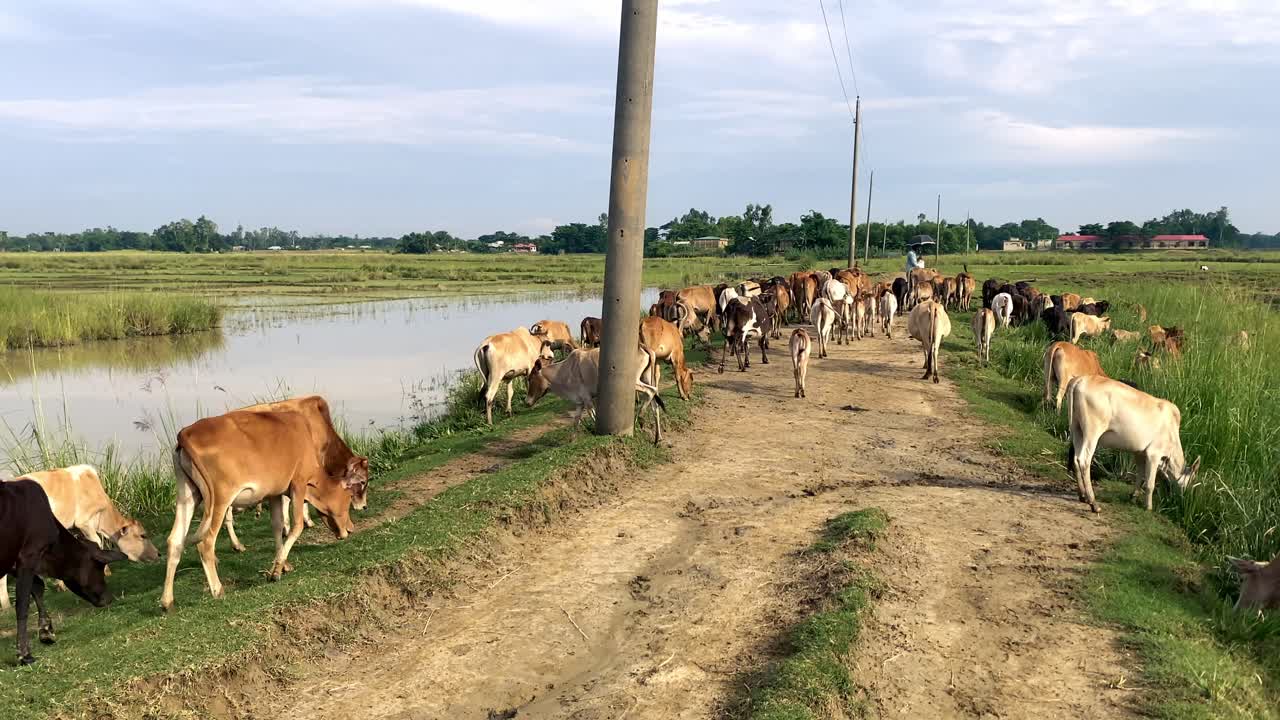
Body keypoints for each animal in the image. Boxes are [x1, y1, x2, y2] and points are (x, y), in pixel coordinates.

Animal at [1, 465, 158, 610]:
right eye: (143, 535)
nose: (158, 553)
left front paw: (60, 584)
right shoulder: (84, 521)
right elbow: (97, 542)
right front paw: (106, 571)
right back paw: (6, 605)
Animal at [1, 480, 124, 665]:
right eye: (99, 567)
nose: (108, 598)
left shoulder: (15, 563)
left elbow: (38, 586)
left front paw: (46, 632)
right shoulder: (29, 555)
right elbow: (22, 604)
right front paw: (24, 654)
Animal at [160, 410, 368, 610]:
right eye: (349, 497)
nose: (350, 528)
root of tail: (186, 432)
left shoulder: (275, 493)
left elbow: (277, 526)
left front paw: (282, 565)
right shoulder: (298, 484)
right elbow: (297, 526)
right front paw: (275, 572)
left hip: (188, 496)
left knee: (175, 541)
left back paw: (167, 601)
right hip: (219, 500)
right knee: (205, 542)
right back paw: (217, 589)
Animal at [525, 346, 665, 443]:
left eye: (530, 378)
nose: (527, 402)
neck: (564, 370)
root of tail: (643, 347)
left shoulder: (587, 399)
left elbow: (593, 416)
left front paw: (593, 432)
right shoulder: (580, 402)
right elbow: (576, 421)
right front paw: (572, 440)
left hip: (635, 382)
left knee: (651, 391)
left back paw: (640, 419)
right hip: (647, 378)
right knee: (655, 404)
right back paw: (658, 438)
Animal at [1065, 375, 1200, 513]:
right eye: (1191, 482)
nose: (1185, 499)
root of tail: (1081, 379)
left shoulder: (1140, 452)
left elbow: (1140, 475)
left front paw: (1134, 497)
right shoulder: (1153, 454)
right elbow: (1149, 483)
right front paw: (1148, 507)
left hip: (1077, 429)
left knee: (1075, 459)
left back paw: (1083, 496)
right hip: (1092, 432)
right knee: (1084, 460)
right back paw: (1093, 503)